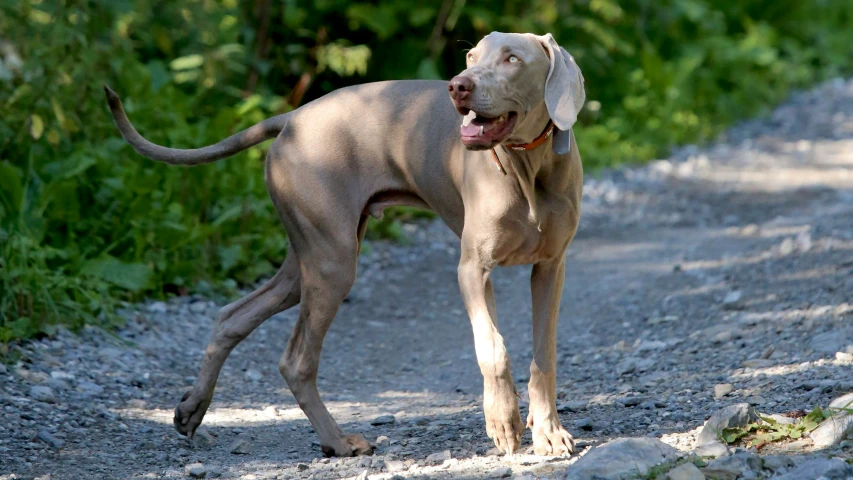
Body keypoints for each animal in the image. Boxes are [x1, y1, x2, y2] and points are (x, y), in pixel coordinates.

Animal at [105, 31, 584, 458]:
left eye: (512, 59)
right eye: (471, 56)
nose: (458, 85)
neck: (527, 166)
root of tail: (292, 117)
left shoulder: (552, 268)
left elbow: (544, 356)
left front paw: (549, 433)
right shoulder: (472, 269)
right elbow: (493, 349)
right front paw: (503, 422)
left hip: (309, 261)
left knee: (232, 316)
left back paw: (192, 408)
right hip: (332, 261)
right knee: (296, 361)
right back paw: (336, 441)